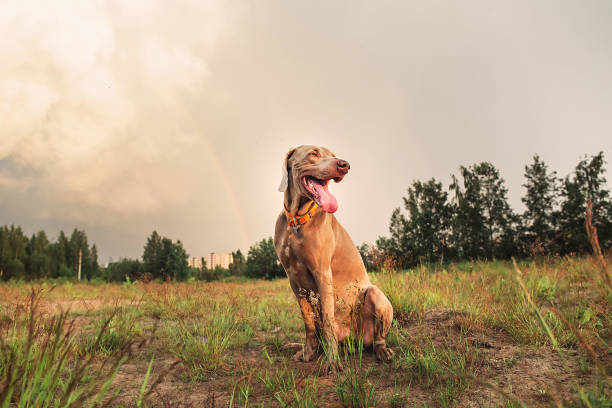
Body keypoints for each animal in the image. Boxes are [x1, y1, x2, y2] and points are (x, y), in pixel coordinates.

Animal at [274, 144, 394, 370]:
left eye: (333, 155)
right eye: (313, 153)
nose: (344, 165)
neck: (297, 220)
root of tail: (353, 342)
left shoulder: (322, 273)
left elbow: (329, 318)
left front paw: (332, 363)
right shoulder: (294, 280)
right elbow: (307, 322)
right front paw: (308, 353)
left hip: (375, 296)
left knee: (378, 338)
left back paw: (381, 351)